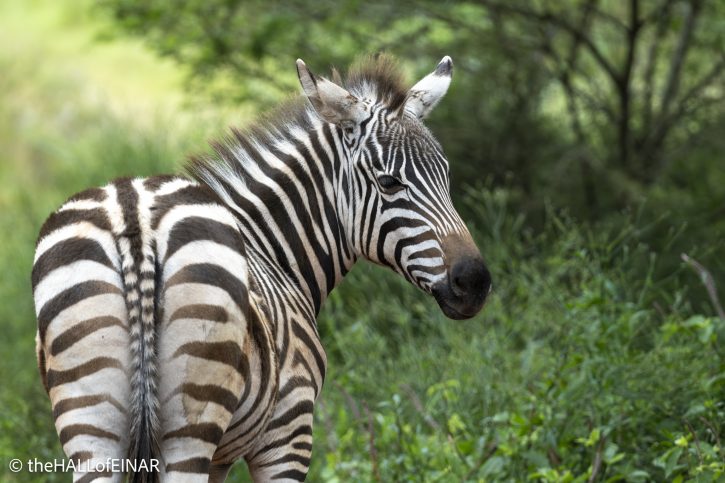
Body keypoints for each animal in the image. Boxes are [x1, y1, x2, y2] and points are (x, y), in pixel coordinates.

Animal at [31, 54, 491, 482]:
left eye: (446, 175)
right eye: (390, 182)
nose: (475, 282)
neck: (271, 252)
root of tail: (135, 217)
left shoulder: (222, 456)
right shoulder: (288, 430)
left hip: (92, 422)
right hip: (189, 424)